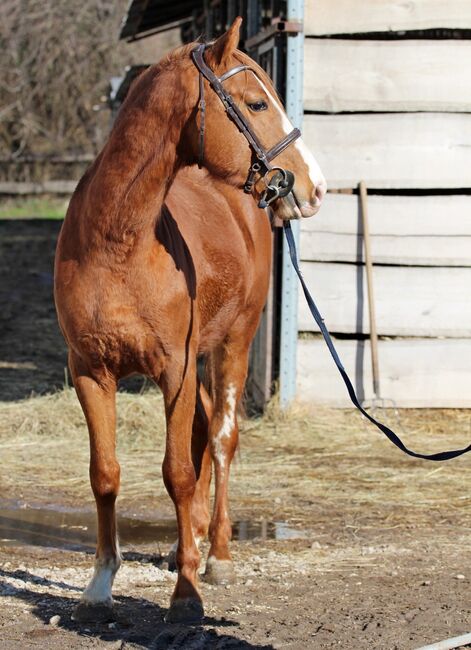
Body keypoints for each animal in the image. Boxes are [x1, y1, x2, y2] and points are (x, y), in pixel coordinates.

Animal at [54, 17, 326, 624]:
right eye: (255, 102)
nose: (312, 186)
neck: (118, 244)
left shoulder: (173, 372)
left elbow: (178, 472)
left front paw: (186, 593)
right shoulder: (90, 372)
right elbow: (105, 473)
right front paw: (100, 584)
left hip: (232, 345)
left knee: (221, 439)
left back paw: (216, 553)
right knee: (204, 432)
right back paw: (195, 539)